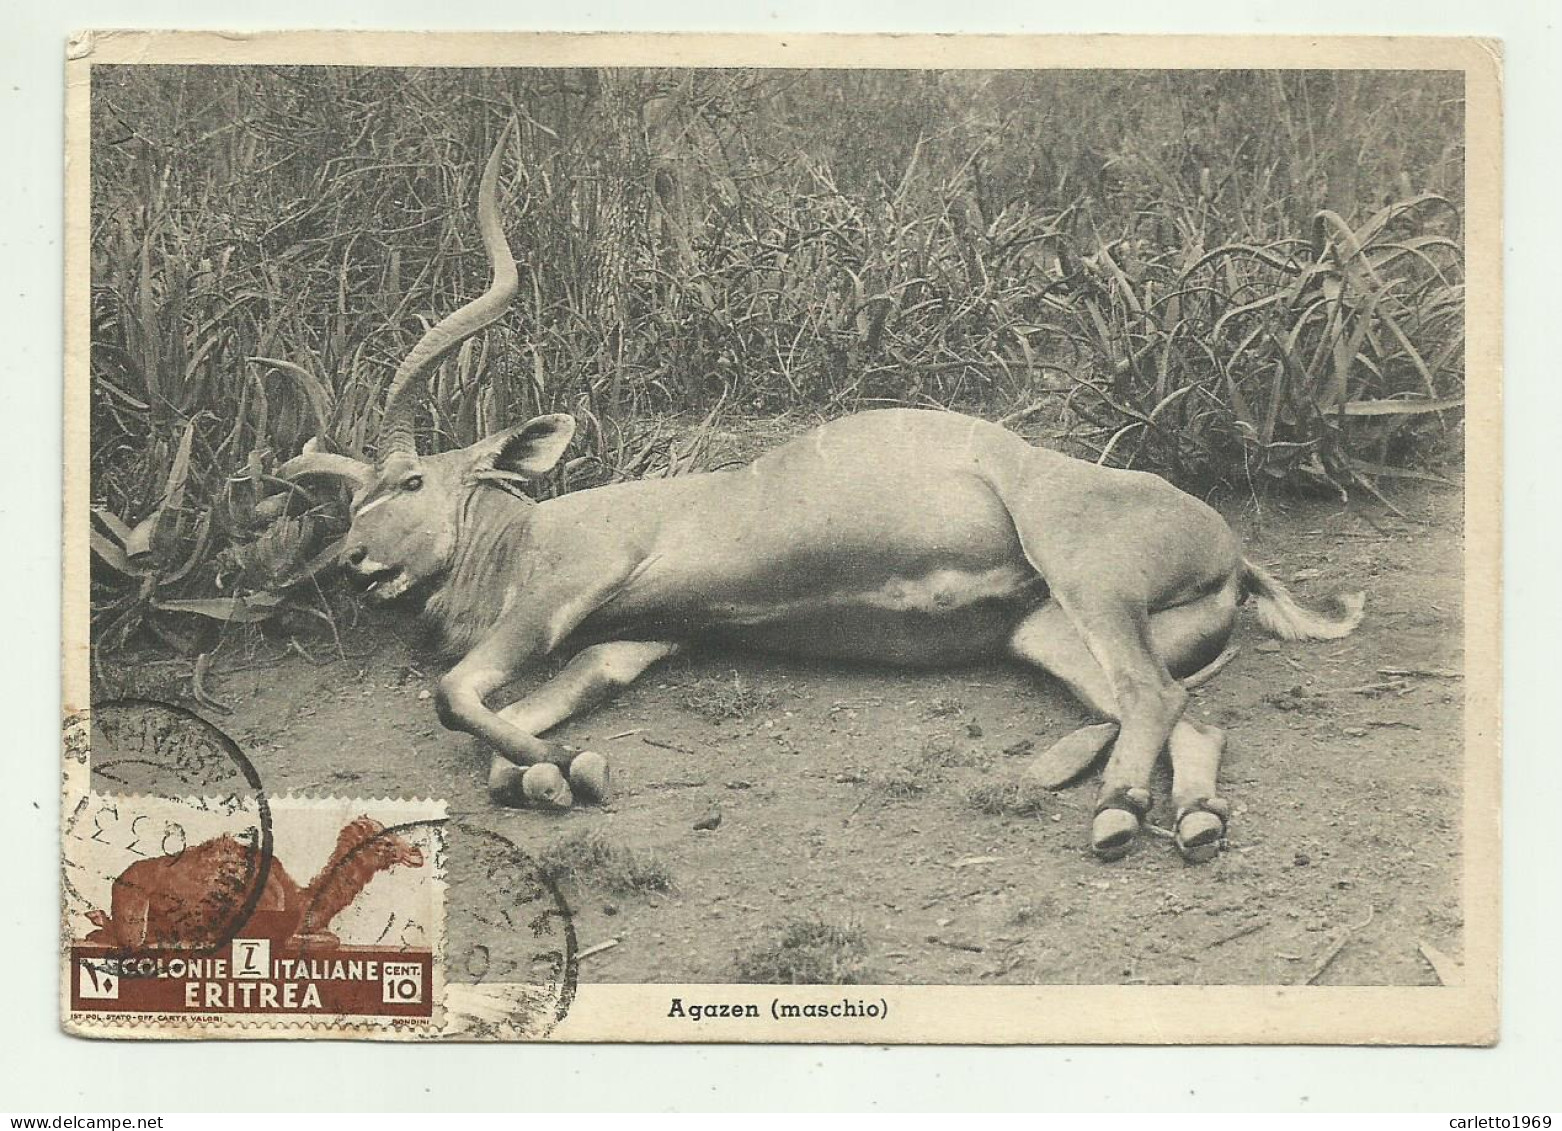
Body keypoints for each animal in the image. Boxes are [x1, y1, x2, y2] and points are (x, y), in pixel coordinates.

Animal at [284, 128, 1368, 862]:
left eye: (411, 479)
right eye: (348, 503)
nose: (356, 562)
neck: (519, 534)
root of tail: (1232, 551)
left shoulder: (566, 591)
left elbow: (452, 695)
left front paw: (571, 769)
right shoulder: (624, 644)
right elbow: (511, 727)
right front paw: (555, 770)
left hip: (1083, 578)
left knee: (1155, 694)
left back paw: (1116, 810)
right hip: (1048, 636)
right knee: (1191, 712)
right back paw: (1185, 815)